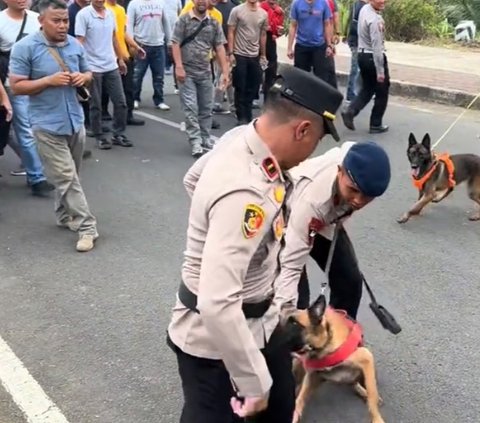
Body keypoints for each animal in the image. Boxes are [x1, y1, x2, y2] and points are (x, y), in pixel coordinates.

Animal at [284, 294, 384, 423]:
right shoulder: (313, 376)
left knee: (358, 384)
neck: (324, 347)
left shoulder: (366, 358)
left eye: (295, 323)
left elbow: (372, 395)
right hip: (298, 366)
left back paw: (363, 391)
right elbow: (300, 399)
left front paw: (376, 418)